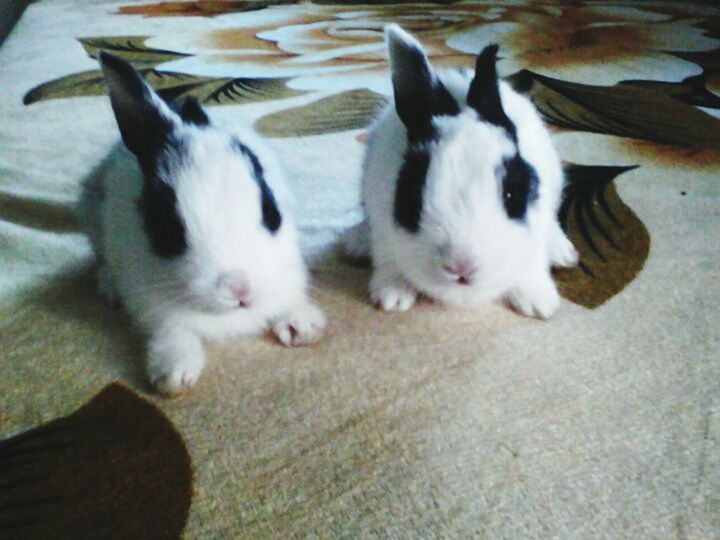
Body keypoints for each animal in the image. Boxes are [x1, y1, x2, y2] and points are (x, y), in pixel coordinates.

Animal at [77, 52, 324, 394]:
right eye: (169, 226)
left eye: (270, 208)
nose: (240, 289)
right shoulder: (153, 306)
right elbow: (172, 331)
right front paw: (173, 376)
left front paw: (302, 326)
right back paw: (110, 286)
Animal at [344, 25, 580, 318]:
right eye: (412, 195)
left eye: (511, 195)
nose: (460, 266)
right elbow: (387, 256)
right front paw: (392, 296)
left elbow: (532, 262)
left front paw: (538, 303)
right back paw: (356, 243)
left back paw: (562, 252)